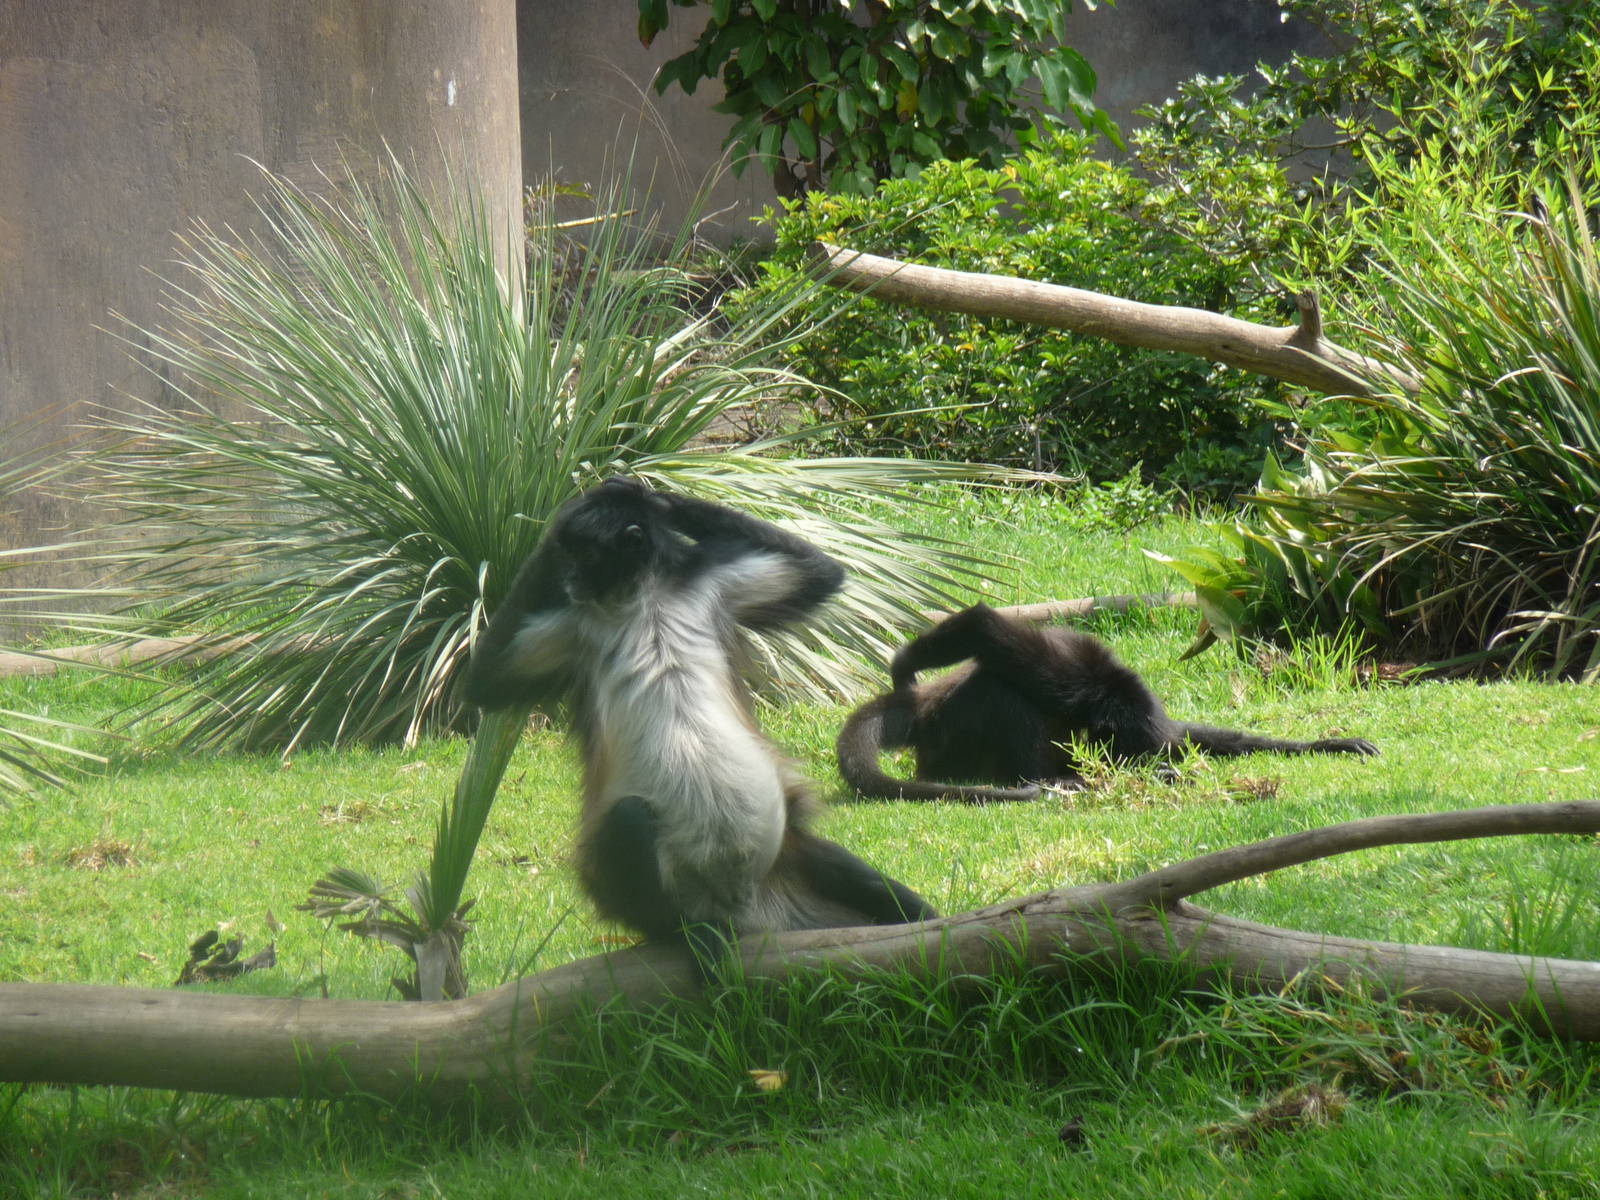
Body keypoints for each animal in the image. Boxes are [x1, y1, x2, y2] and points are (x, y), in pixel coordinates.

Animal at [464, 477, 936, 970]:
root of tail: (745, 911)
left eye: (585, 557)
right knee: (629, 818)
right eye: (570, 558)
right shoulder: (574, 623)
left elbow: (823, 571)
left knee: (848, 870)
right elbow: (484, 684)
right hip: (631, 888)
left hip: (785, 860)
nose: (570, 579)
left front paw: (643, 493)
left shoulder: (706, 580)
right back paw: (687, 933)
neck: (643, 599)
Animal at [836, 602, 1378, 803]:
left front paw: (1327, 745)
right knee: (1000, 692)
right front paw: (902, 664)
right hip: (954, 735)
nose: (1141, 769)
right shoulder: (1066, 675)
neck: (1107, 693)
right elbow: (985, 625)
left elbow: (1191, 737)